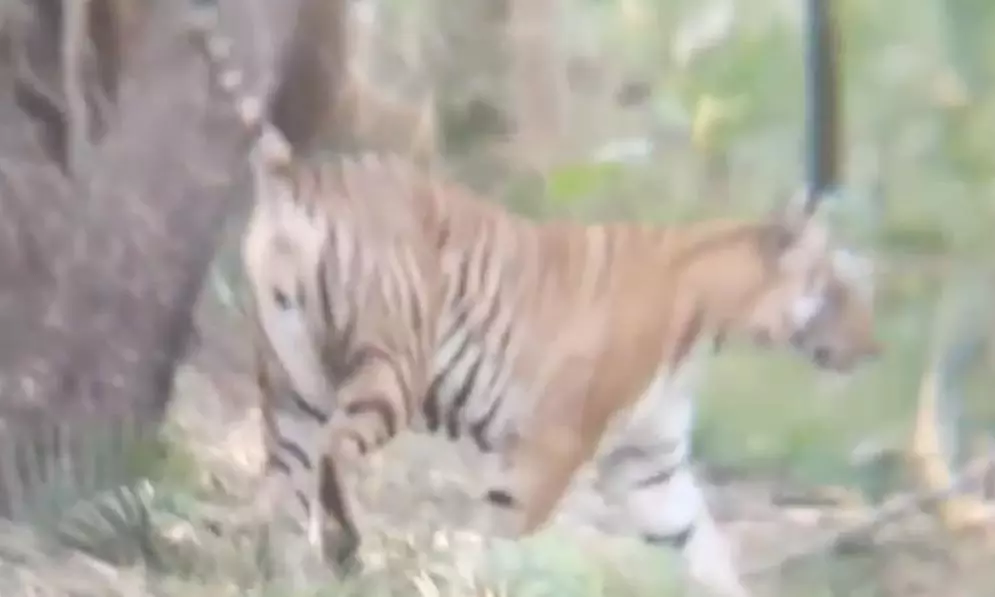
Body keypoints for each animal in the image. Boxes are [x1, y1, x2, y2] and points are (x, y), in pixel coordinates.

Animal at [187, 3, 880, 596]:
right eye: (841, 290)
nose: (874, 350)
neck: (713, 326)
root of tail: (300, 174)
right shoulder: (557, 441)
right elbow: (506, 530)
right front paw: (484, 574)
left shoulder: (651, 462)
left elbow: (702, 548)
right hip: (392, 367)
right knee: (336, 454)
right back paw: (348, 547)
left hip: (291, 383)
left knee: (280, 496)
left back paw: (285, 574)